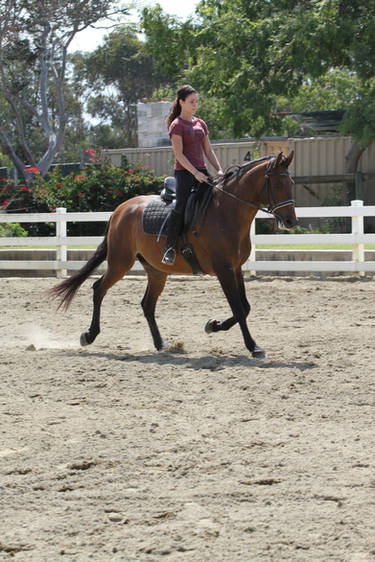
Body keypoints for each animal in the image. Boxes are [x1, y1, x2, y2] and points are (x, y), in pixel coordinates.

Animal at [49, 151, 296, 356]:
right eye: (277, 183)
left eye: (291, 183)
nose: (291, 222)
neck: (226, 211)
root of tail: (120, 209)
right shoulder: (223, 269)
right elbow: (239, 308)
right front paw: (253, 346)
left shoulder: (235, 268)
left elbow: (244, 307)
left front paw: (213, 325)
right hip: (120, 263)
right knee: (98, 289)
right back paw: (89, 335)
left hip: (157, 271)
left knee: (147, 304)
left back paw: (161, 344)